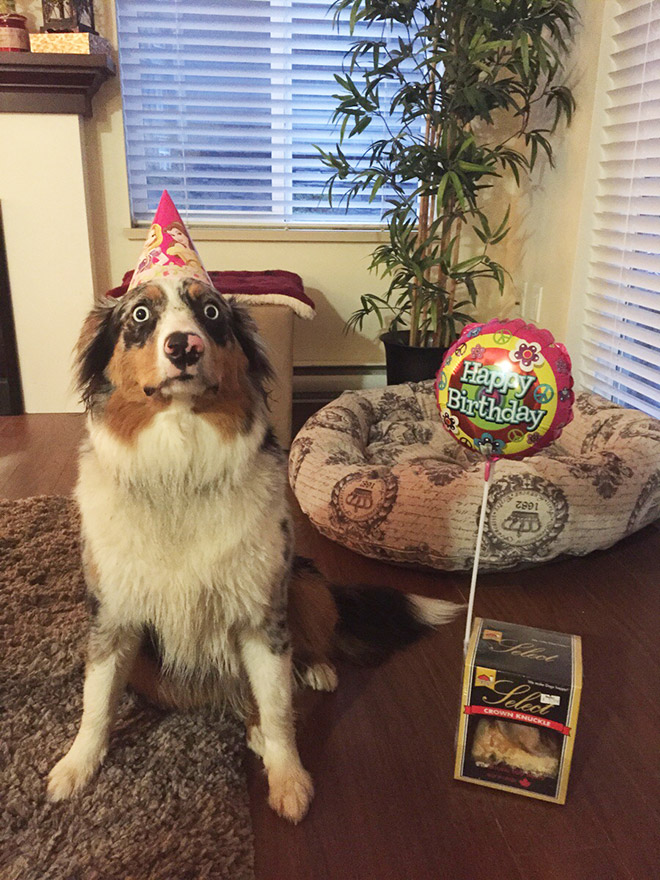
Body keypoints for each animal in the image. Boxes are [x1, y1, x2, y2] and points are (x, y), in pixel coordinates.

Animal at [46, 278, 462, 820]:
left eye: (210, 312)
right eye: (139, 314)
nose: (184, 347)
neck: (179, 472)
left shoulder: (261, 614)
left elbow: (277, 704)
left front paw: (288, 778)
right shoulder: (112, 616)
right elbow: (96, 699)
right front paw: (77, 766)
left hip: (304, 581)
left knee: (300, 651)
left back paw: (313, 672)